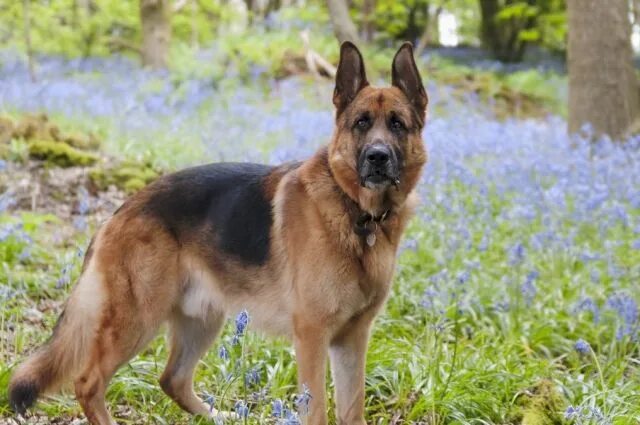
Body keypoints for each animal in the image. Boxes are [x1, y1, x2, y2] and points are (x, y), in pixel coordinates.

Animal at [8, 42, 424, 424]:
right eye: (361, 123)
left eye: (397, 124)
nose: (377, 157)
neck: (357, 213)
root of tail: (122, 210)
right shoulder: (312, 336)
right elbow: (317, 411)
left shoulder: (352, 340)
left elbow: (353, 410)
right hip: (138, 321)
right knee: (88, 382)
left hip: (203, 320)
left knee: (172, 379)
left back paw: (218, 414)